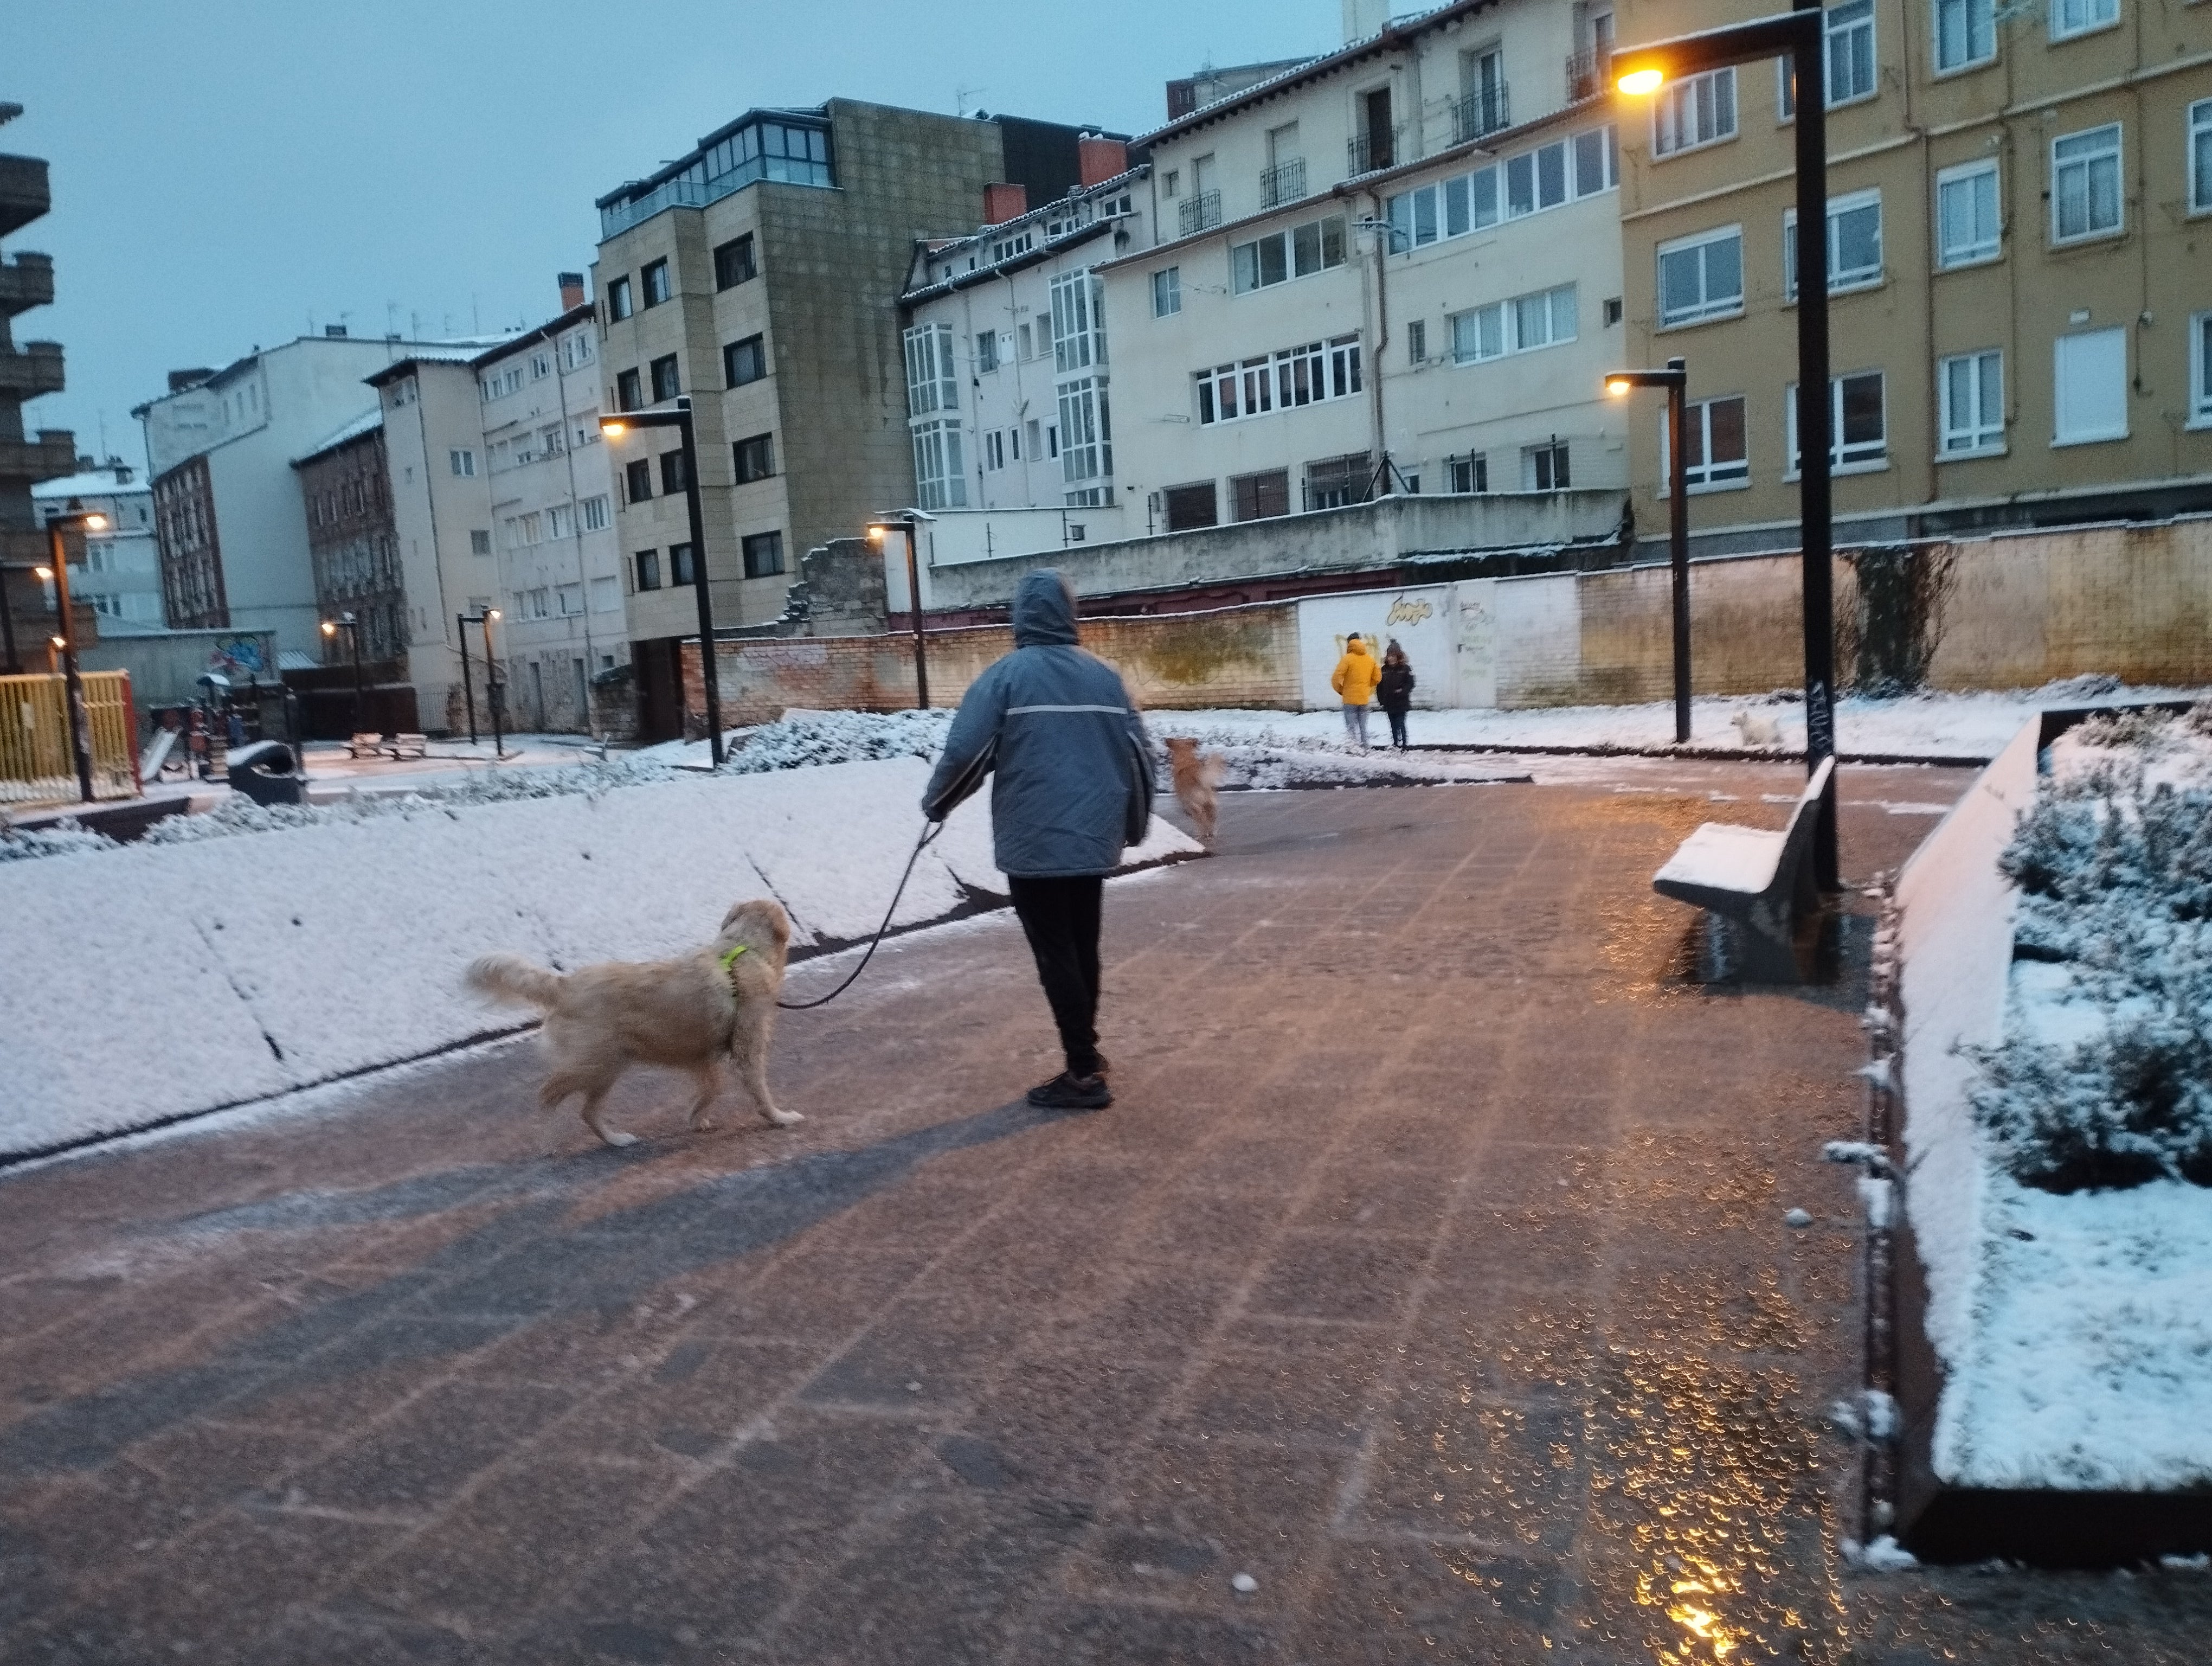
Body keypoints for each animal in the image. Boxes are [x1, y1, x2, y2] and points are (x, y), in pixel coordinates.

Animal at [466, 898, 805, 1142]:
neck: (741, 952)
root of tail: (565, 985)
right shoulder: (747, 1049)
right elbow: (759, 1092)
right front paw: (780, 1118)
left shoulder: (699, 1057)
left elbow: (714, 1088)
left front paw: (696, 1119)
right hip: (594, 1064)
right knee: (548, 1095)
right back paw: (549, 1141)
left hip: (609, 1066)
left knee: (587, 1112)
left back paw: (616, 1140)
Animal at [1168, 739, 1238, 845]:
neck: (1186, 759)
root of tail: (1197, 776)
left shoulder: (1186, 802)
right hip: (1211, 804)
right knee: (1210, 821)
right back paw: (1210, 836)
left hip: (1196, 805)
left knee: (1202, 821)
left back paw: (1201, 836)